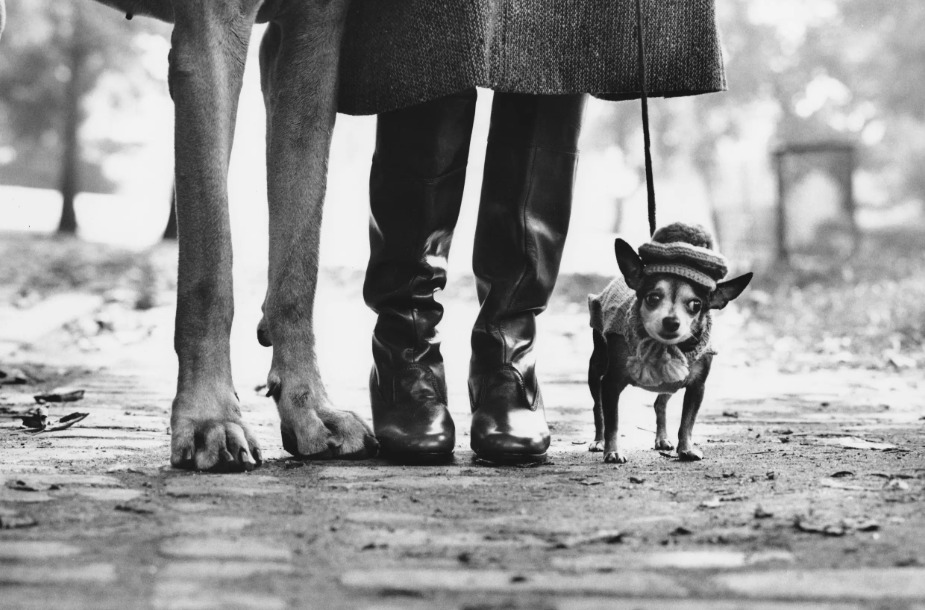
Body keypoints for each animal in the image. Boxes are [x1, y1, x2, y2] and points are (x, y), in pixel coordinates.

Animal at [592, 223, 752, 460]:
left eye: (696, 305)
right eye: (652, 298)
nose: (671, 321)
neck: (665, 348)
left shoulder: (696, 387)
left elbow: (687, 422)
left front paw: (686, 449)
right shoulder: (611, 383)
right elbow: (613, 422)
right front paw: (612, 452)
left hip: (670, 385)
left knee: (660, 404)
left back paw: (662, 439)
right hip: (596, 369)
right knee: (598, 408)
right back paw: (598, 441)